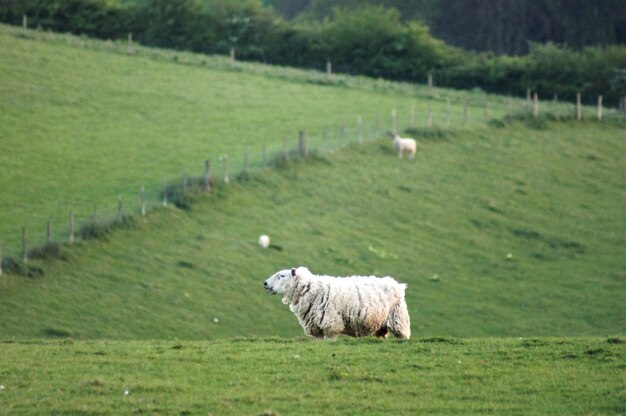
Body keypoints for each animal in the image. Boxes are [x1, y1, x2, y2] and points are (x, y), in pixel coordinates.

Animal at [262, 266, 410, 338]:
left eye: (282, 275)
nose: (265, 283)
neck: (311, 289)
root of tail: (398, 285)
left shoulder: (331, 325)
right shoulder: (317, 329)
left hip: (398, 319)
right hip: (381, 326)